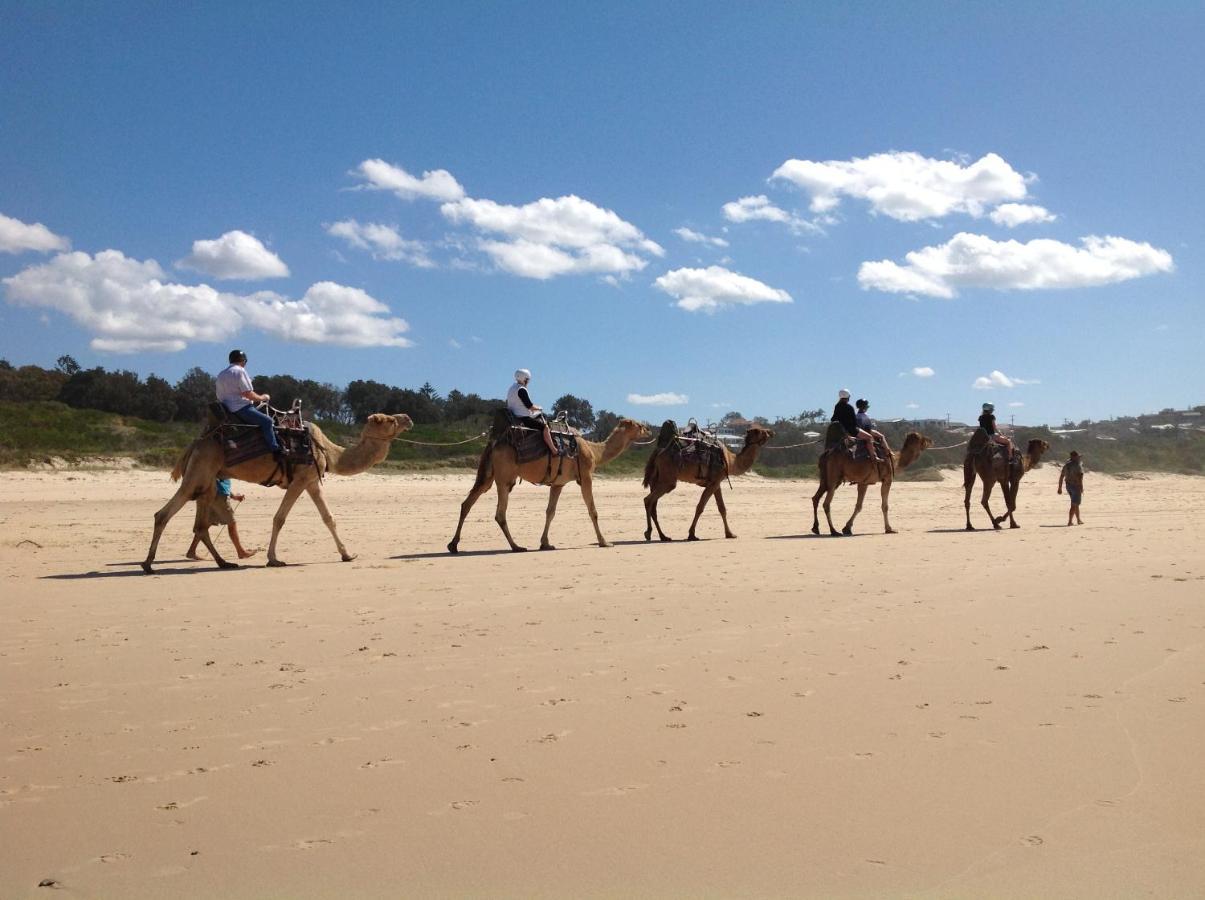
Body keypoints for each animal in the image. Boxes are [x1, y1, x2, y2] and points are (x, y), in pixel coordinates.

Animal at [142, 414, 409, 573]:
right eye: (387, 419)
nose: (408, 418)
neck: (327, 450)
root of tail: (195, 443)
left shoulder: (312, 481)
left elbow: (328, 518)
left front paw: (348, 555)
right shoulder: (300, 479)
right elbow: (279, 518)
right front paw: (273, 559)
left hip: (207, 481)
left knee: (200, 525)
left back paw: (224, 562)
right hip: (198, 474)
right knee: (164, 514)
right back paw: (148, 564)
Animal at [448, 419, 650, 551]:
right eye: (639, 426)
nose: (649, 429)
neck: (594, 451)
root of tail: (494, 443)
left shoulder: (558, 484)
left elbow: (550, 512)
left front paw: (545, 543)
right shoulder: (586, 476)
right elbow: (592, 510)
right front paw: (604, 542)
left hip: (489, 475)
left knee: (467, 503)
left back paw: (453, 545)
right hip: (505, 477)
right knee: (500, 513)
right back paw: (516, 546)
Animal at [641, 424, 771, 539]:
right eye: (760, 431)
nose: (771, 432)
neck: (730, 460)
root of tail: (658, 452)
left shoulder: (716, 483)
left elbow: (722, 508)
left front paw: (730, 534)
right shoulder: (714, 482)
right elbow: (700, 507)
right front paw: (692, 534)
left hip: (656, 479)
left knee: (653, 506)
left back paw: (663, 536)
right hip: (668, 479)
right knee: (648, 500)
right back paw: (649, 532)